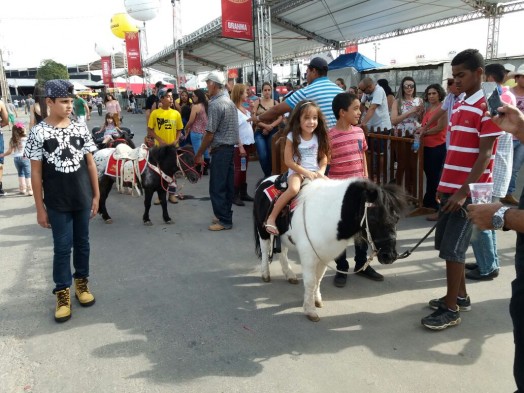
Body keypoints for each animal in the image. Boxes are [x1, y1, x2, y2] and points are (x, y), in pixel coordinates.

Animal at [252, 176, 408, 320]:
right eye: (374, 219)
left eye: (397, 218)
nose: (390, 256)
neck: (327, 214)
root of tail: (265, 180)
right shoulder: (308, 256)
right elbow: (310, 281)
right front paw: (310, 310)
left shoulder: (324, 255)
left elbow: (318, 278)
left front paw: (317, 301)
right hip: (263, 231)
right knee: (265, 250)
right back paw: (265, 274)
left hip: (283, 236)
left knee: (283, 252)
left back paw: (290, 274)